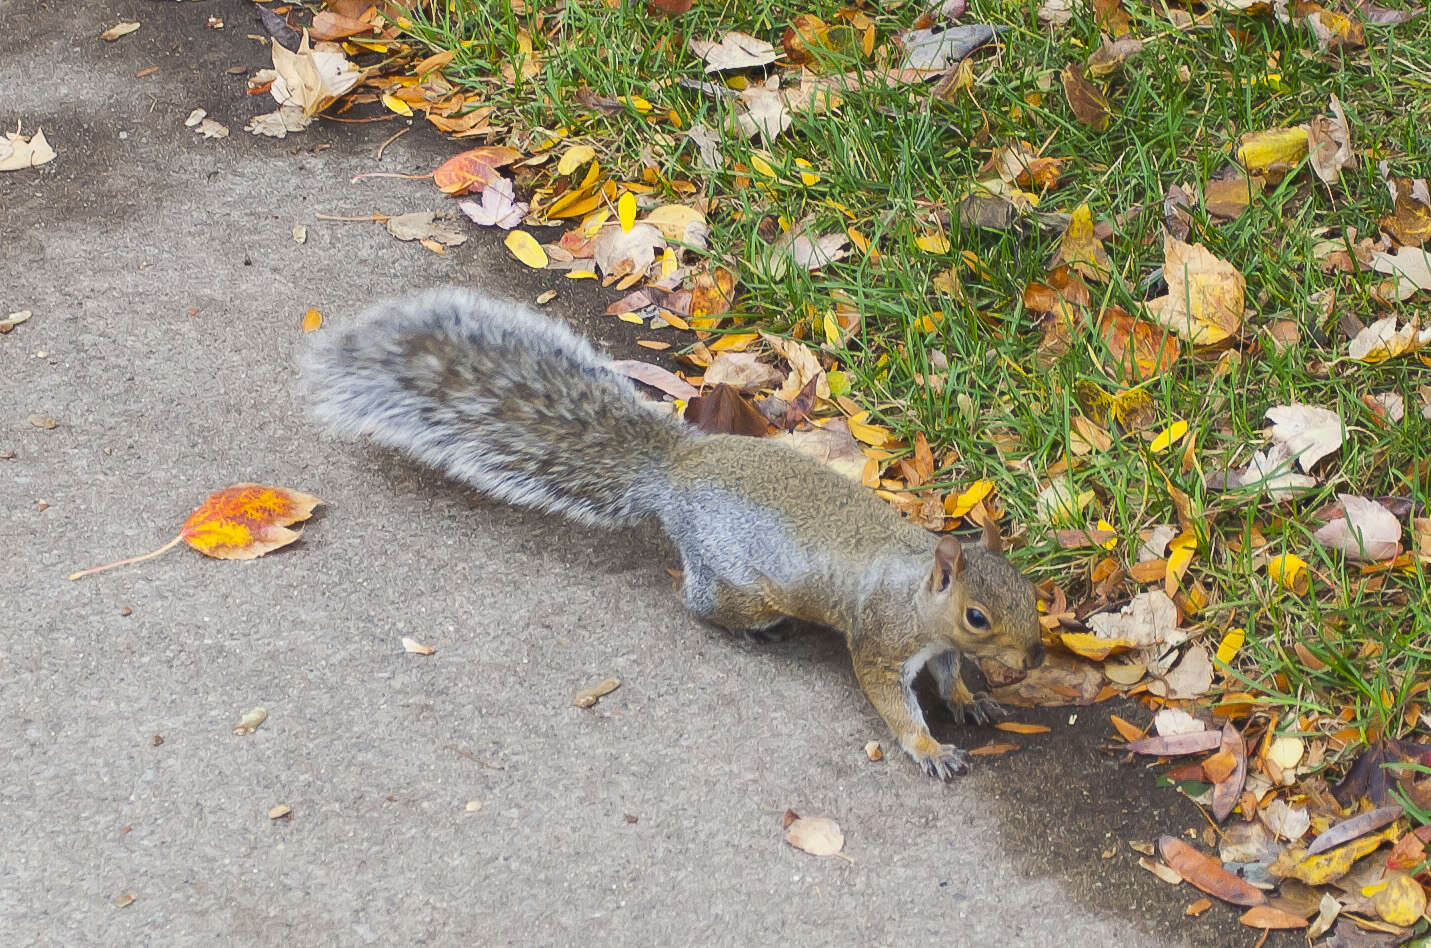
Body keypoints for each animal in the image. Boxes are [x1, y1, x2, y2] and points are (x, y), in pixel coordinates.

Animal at [301, 287, 1047, 779]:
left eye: (1029, 593)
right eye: (979, 616)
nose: (1037, 657)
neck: (920, 589)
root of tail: (675, 471)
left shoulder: (934, 646)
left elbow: (947, 676)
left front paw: (967, 699)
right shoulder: (880, 641)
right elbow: (890, 701)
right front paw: (927, 748)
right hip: (740, 586)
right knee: (697, 602)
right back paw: (749, 630)